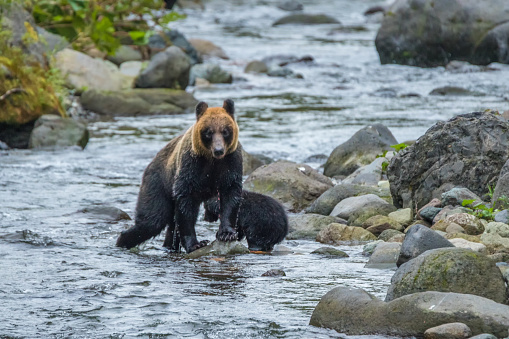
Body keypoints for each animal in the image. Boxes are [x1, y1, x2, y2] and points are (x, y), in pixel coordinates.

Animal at [116, 99, 243, 254]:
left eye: (225, 131)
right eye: (208, 132)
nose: (218, 150)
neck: (212, 161)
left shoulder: (230, 164)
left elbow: (230, 196)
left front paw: (227, 234)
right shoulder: (191, 167)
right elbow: (186, 202)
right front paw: (196, 244)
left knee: (167, 224)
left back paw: (169, 246)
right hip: (158, 182)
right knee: (152, 219)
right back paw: (122, 240)